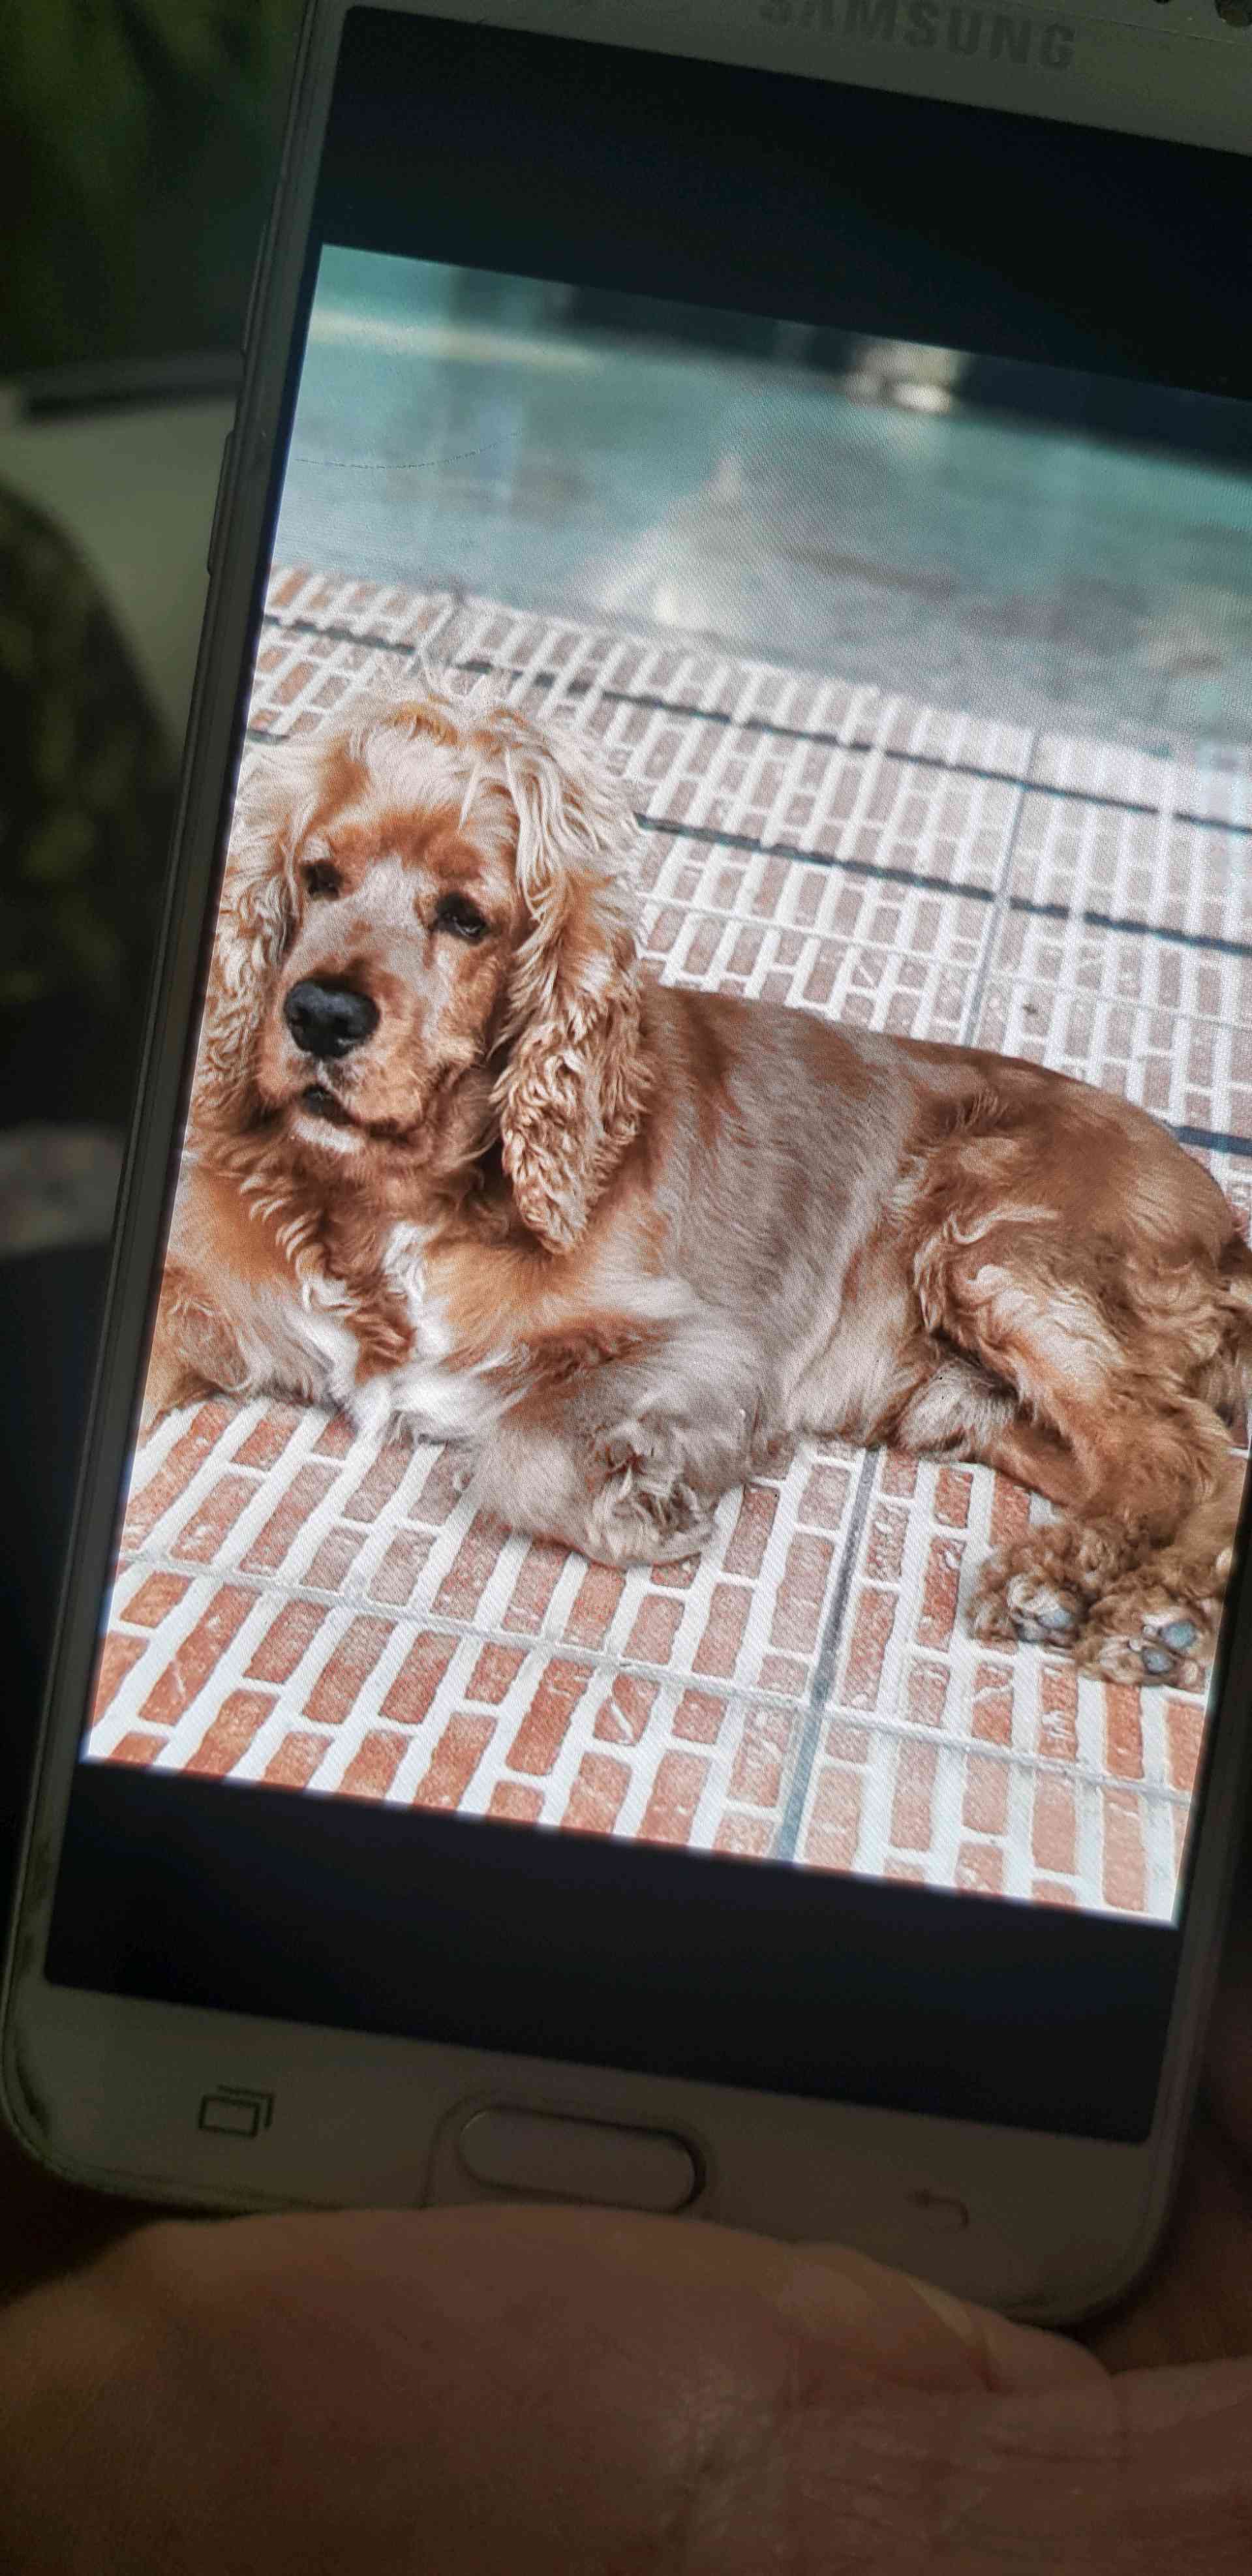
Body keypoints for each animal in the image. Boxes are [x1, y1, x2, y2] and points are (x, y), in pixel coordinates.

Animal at [144, 672, 1252, 1692]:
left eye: (465, 918)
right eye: (318, 876)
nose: (318, 1015)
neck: (397, 1196)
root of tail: (1225, 1222)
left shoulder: (706, 1345)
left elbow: (520, 1448)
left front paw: (639, 1510)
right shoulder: (198, 1291)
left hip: (993, 1250)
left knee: (1181, 1449)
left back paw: (1095, 1595)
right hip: (963, 1400)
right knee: (1195, 1470)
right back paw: (1139, 1609)